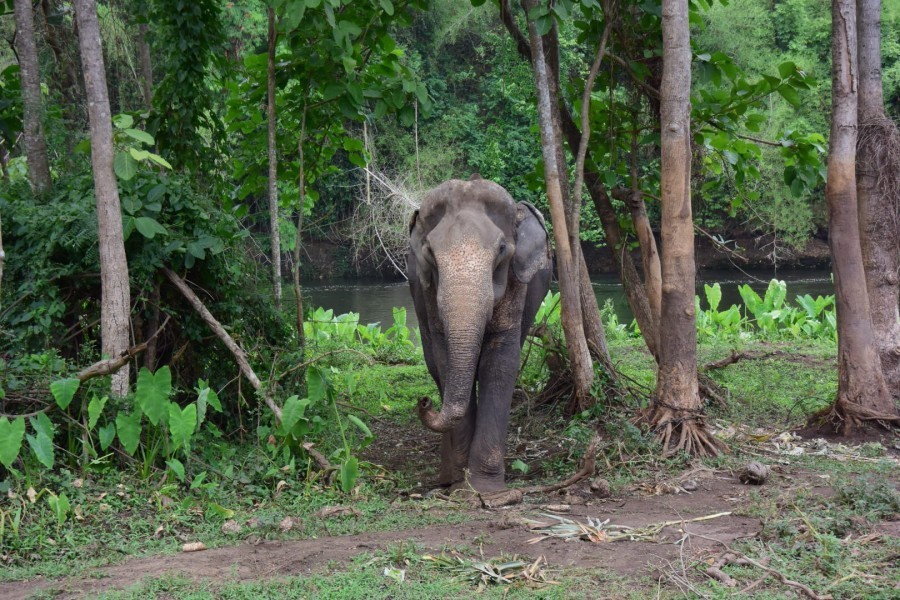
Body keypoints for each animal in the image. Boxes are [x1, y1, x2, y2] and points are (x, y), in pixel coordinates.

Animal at [406, 175, 548, 492]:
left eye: (502, 249)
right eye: (430, 253)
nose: (423, 402)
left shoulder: (516, 284)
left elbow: (500, 363)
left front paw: (486, 490)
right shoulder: (427, 291)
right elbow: (444, 359)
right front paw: (462, 482)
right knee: (434, 367)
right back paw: (447, 477)